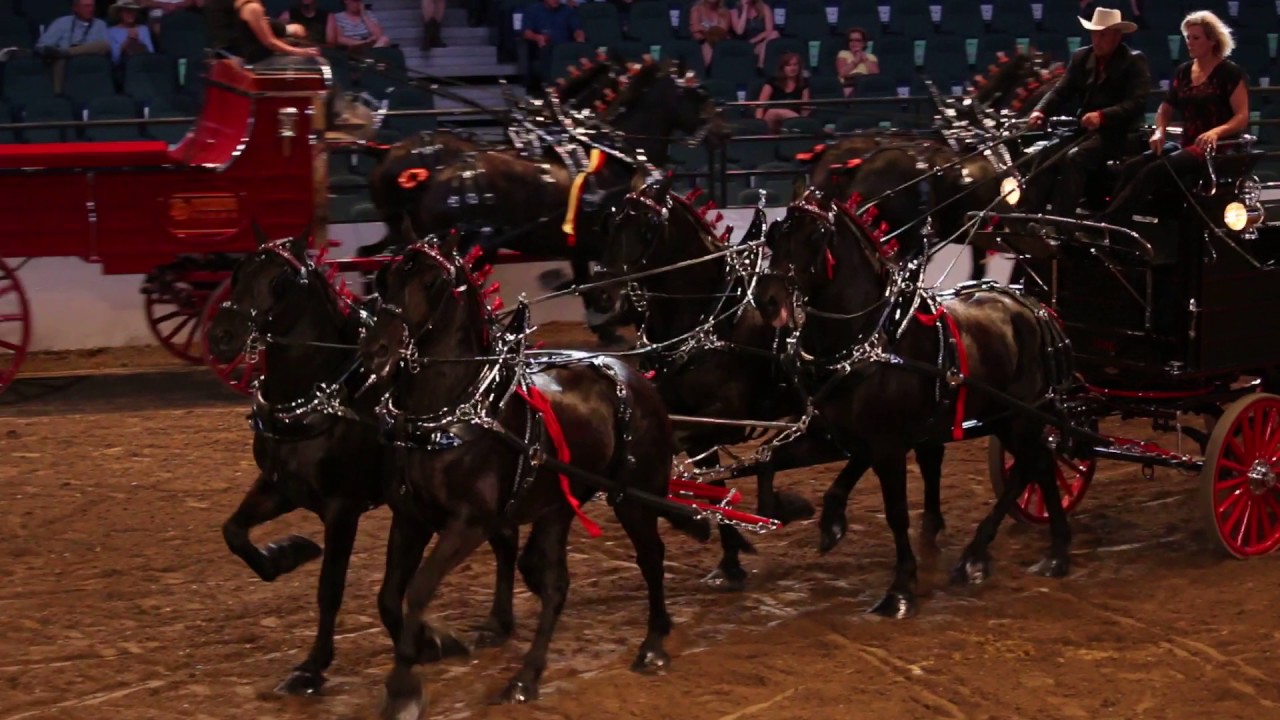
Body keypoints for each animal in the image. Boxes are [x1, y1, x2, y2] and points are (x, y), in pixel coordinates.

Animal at [204, 226, 514, 691]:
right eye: (238, 271)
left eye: (280, 281)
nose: (221, 337)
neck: (323, 390)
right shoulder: (280, 487)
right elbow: (234, 532)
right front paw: (285, 554)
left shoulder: (342, 508)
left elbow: (330, 589)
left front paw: (313, 665)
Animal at [358, 233, 711, 712]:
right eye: (385, 277)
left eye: (433, 282)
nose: (376, 349)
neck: (450, 412)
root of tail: (635, 376)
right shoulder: (410, 518)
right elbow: (389, 598)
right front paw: (433, 646)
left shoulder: (469, 523)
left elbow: (419, 590)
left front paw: (404, 689)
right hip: (558, 505)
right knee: (555, 581)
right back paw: (526, 676)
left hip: (632, 495)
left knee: (650, 556)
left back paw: (652, 644)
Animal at [752, 189, 1075, 617]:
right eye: (775, 233)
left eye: (817, 236)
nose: (766, 299)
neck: (867, 340)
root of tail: (1035, 308)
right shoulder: (832, 435)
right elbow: (769, 461)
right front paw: (801, 512)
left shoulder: (888, 446)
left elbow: (896, 513)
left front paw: (900, 590)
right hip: (1008, 418)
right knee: (1036, 465)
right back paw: (1020, 553)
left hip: (1020, 418)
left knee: (1035, 465)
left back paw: (1021, 554)